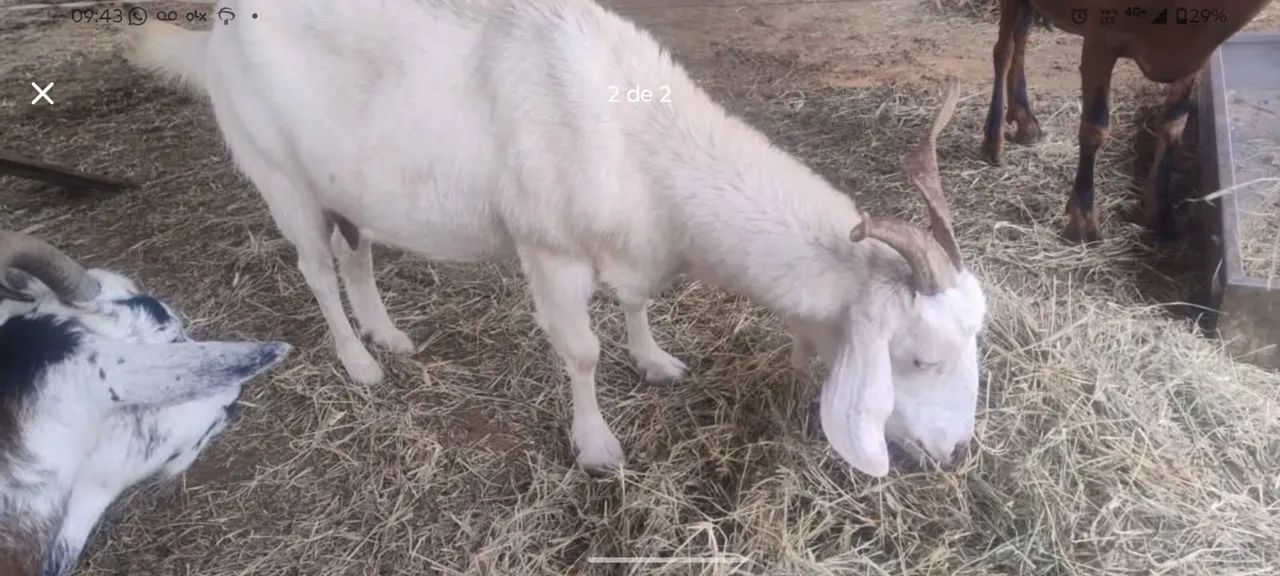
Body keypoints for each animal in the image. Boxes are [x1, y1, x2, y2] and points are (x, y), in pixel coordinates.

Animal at [127, 0, 987, 477]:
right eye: (917, 359)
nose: (956, 453)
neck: (635, 132)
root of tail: (213, 32)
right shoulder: (550, 251)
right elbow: (581, 352)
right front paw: (596, 445)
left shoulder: (635, 247)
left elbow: (637, 305)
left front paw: (656, 361)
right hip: (278, 173)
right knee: (312, 266)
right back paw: (358, 362)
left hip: (349, 186)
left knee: (352, 251)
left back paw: (389, 335)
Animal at [981, 0, 1272, 243]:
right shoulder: (1100, 38)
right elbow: (1095, 127)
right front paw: (1082, 224)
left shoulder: (1195, 59)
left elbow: (1174, 124)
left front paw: (1161, 216)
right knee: (1004, 49)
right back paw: (993, 141)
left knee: (1021, 34)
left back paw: (1024, 119)